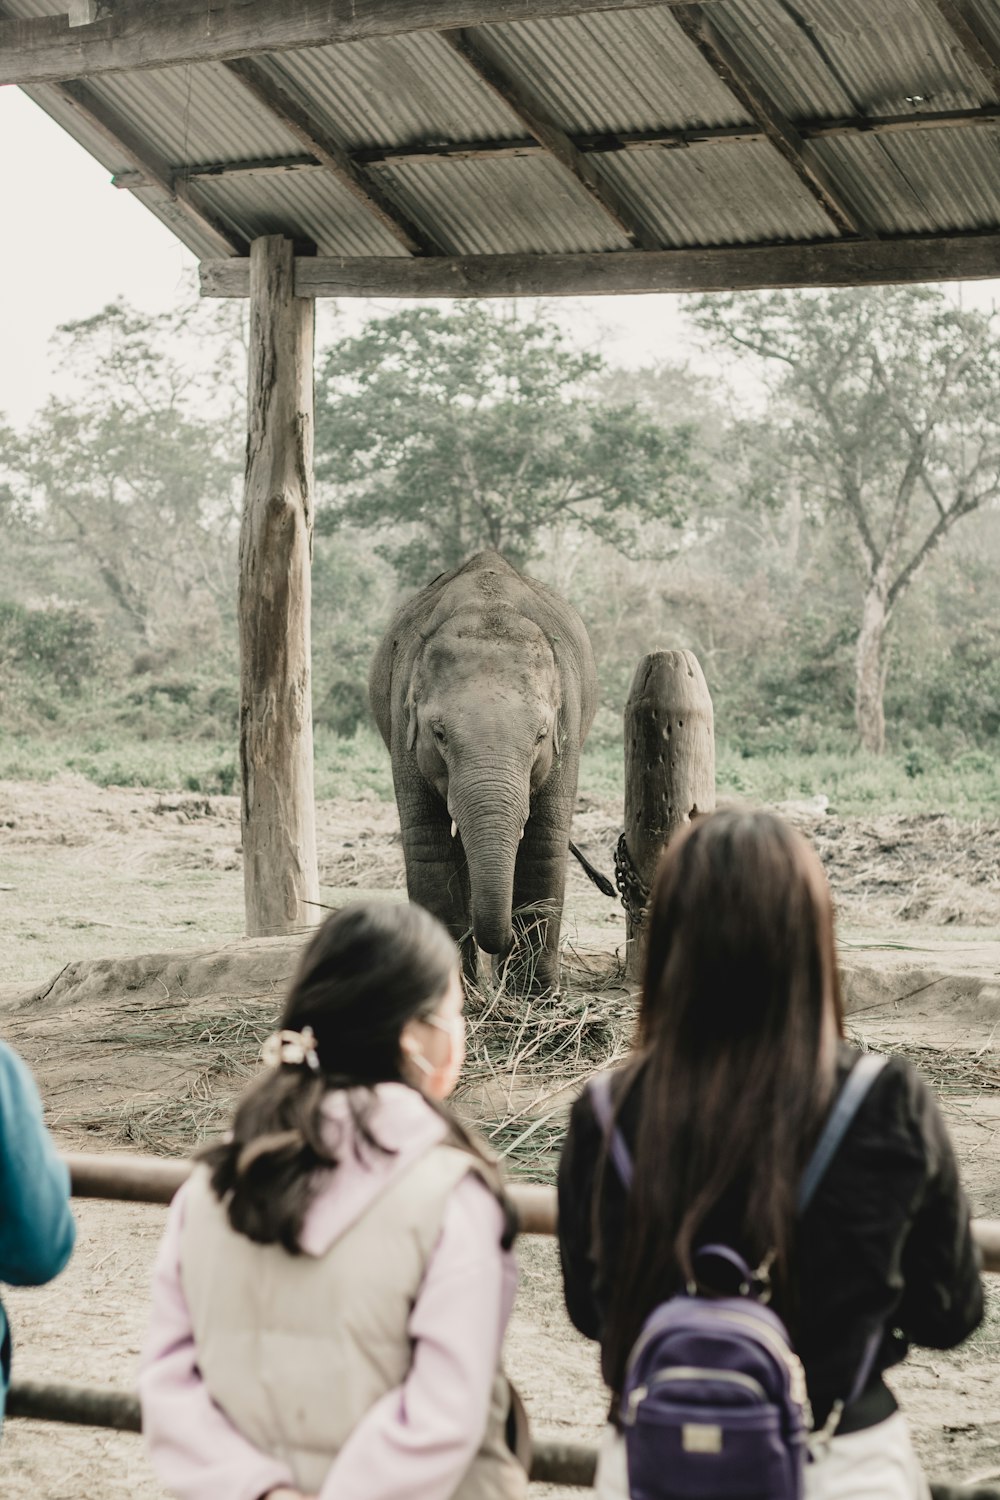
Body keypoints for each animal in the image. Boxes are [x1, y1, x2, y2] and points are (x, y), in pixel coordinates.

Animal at [371, 552, 599, 996]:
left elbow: (545, 839)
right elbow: (427, 842)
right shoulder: (402, 724)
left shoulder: (568, 725)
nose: (502, 938)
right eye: (439, 734)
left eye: (540, 735)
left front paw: (536, 996)